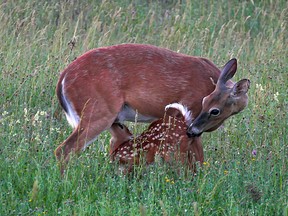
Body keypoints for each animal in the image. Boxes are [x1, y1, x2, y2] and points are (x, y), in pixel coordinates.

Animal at [54, 44, 250, 172]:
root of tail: (63, 78)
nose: (192, 128)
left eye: (212, 106)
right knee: (64, 150)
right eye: (205, 103)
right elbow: (197, 157)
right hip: (97, 112)